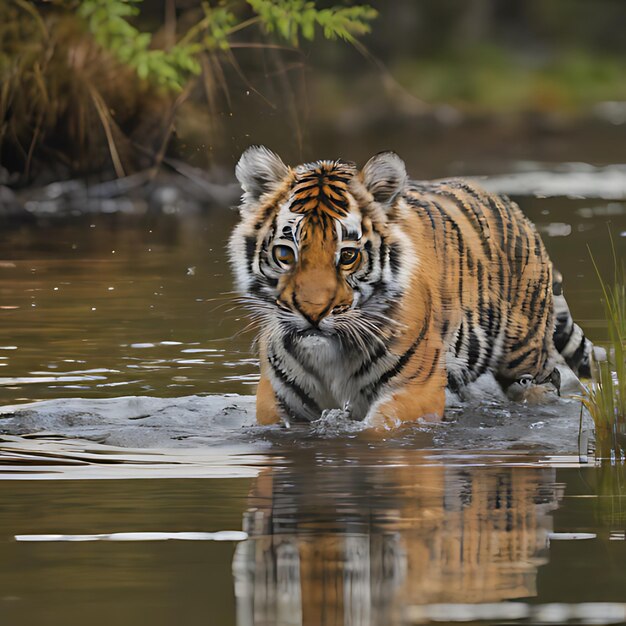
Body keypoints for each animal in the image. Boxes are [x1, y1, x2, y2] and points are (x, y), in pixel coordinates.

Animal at [229, 146, 588, 426]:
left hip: (524, 360)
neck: (330, 357)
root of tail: (510, 206)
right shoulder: (278, 403)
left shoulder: (415, 391)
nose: (313, 313)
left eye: (348, 255)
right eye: (285, 253)